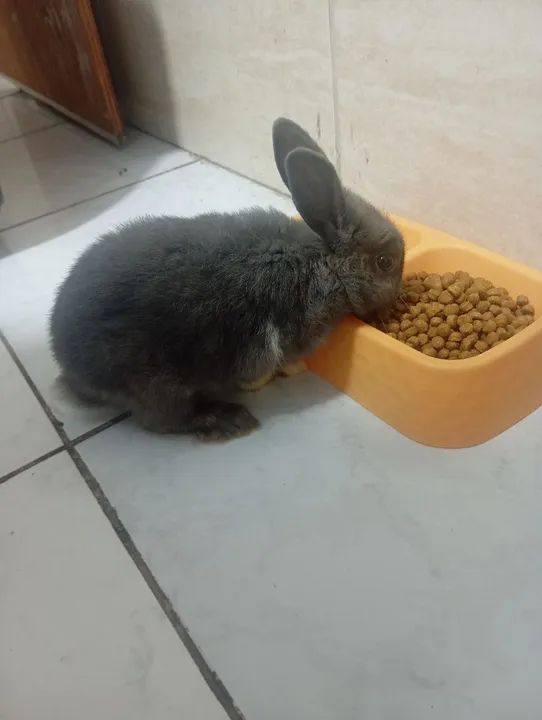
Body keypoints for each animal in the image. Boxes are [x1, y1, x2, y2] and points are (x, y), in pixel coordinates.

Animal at [50, 117, 404, 441]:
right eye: (385, 262)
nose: (396, 298)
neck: (320, 264)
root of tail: (69, 367)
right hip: (156, 383)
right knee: (161, 421)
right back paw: (227, 420)